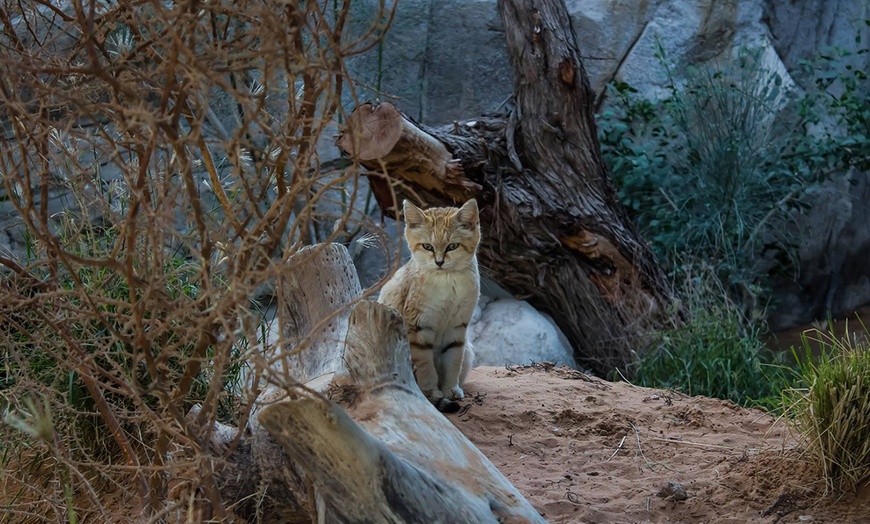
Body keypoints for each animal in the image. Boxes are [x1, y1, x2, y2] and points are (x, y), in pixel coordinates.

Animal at [378, 199, 480, 412]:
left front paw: (450, 388)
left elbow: (453, 361)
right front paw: (432, 392)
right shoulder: (418, 327)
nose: (439, 262)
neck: (448, 281)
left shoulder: (457, 327)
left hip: (468, 352)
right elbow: (426, 366)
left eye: (452, 246)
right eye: (427, 246)